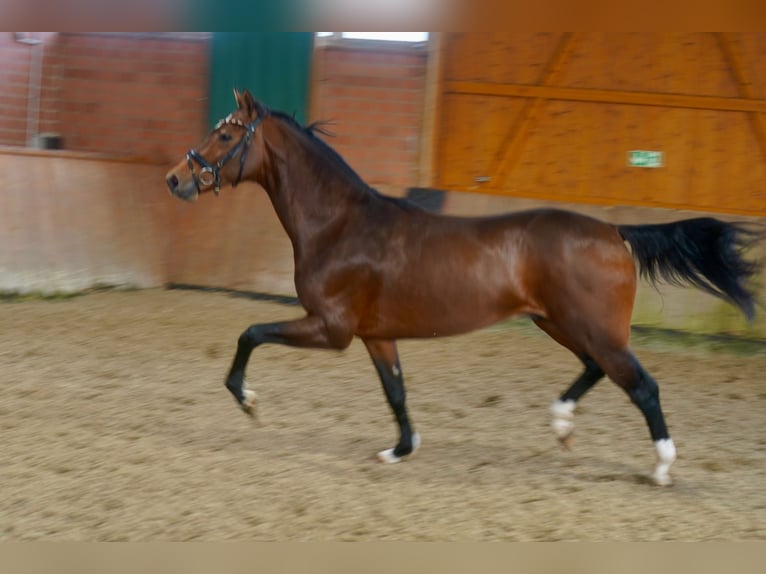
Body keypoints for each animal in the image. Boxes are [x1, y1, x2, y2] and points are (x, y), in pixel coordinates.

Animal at [164, 89, 760, 486]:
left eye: (224, 134)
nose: (175, 178)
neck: (340, 225)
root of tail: (616, 232)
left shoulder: (330, 329)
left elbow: (250, 332)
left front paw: (249, 402)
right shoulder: (375, 335)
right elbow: (396, 392)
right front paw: (400, 450)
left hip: (590, 327)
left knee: (642, 386)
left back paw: (660, 467)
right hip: (559, 322)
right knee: (598, 369)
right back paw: (562, 425)